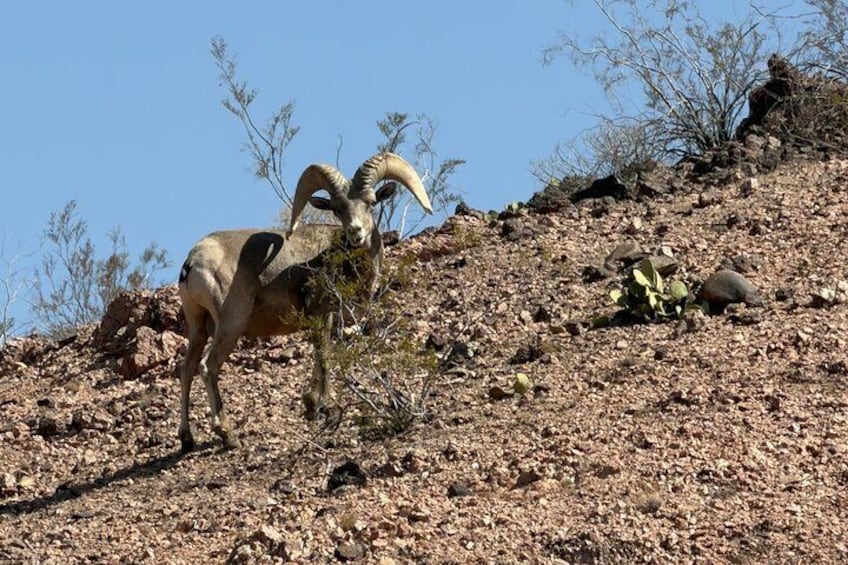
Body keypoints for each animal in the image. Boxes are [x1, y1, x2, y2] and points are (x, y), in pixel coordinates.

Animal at [177, 152, 432, 452]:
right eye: (337, 208)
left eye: (370, 203)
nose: (355, 232)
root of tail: (193, 262)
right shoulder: (321, 313)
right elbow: (324, 357)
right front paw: (326, 407)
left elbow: (321, 355)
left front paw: (310, 403)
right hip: (230, 325)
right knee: (208, 367)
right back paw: (228, 434)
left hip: (197, 327)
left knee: (186, 369)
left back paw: (187, 439)